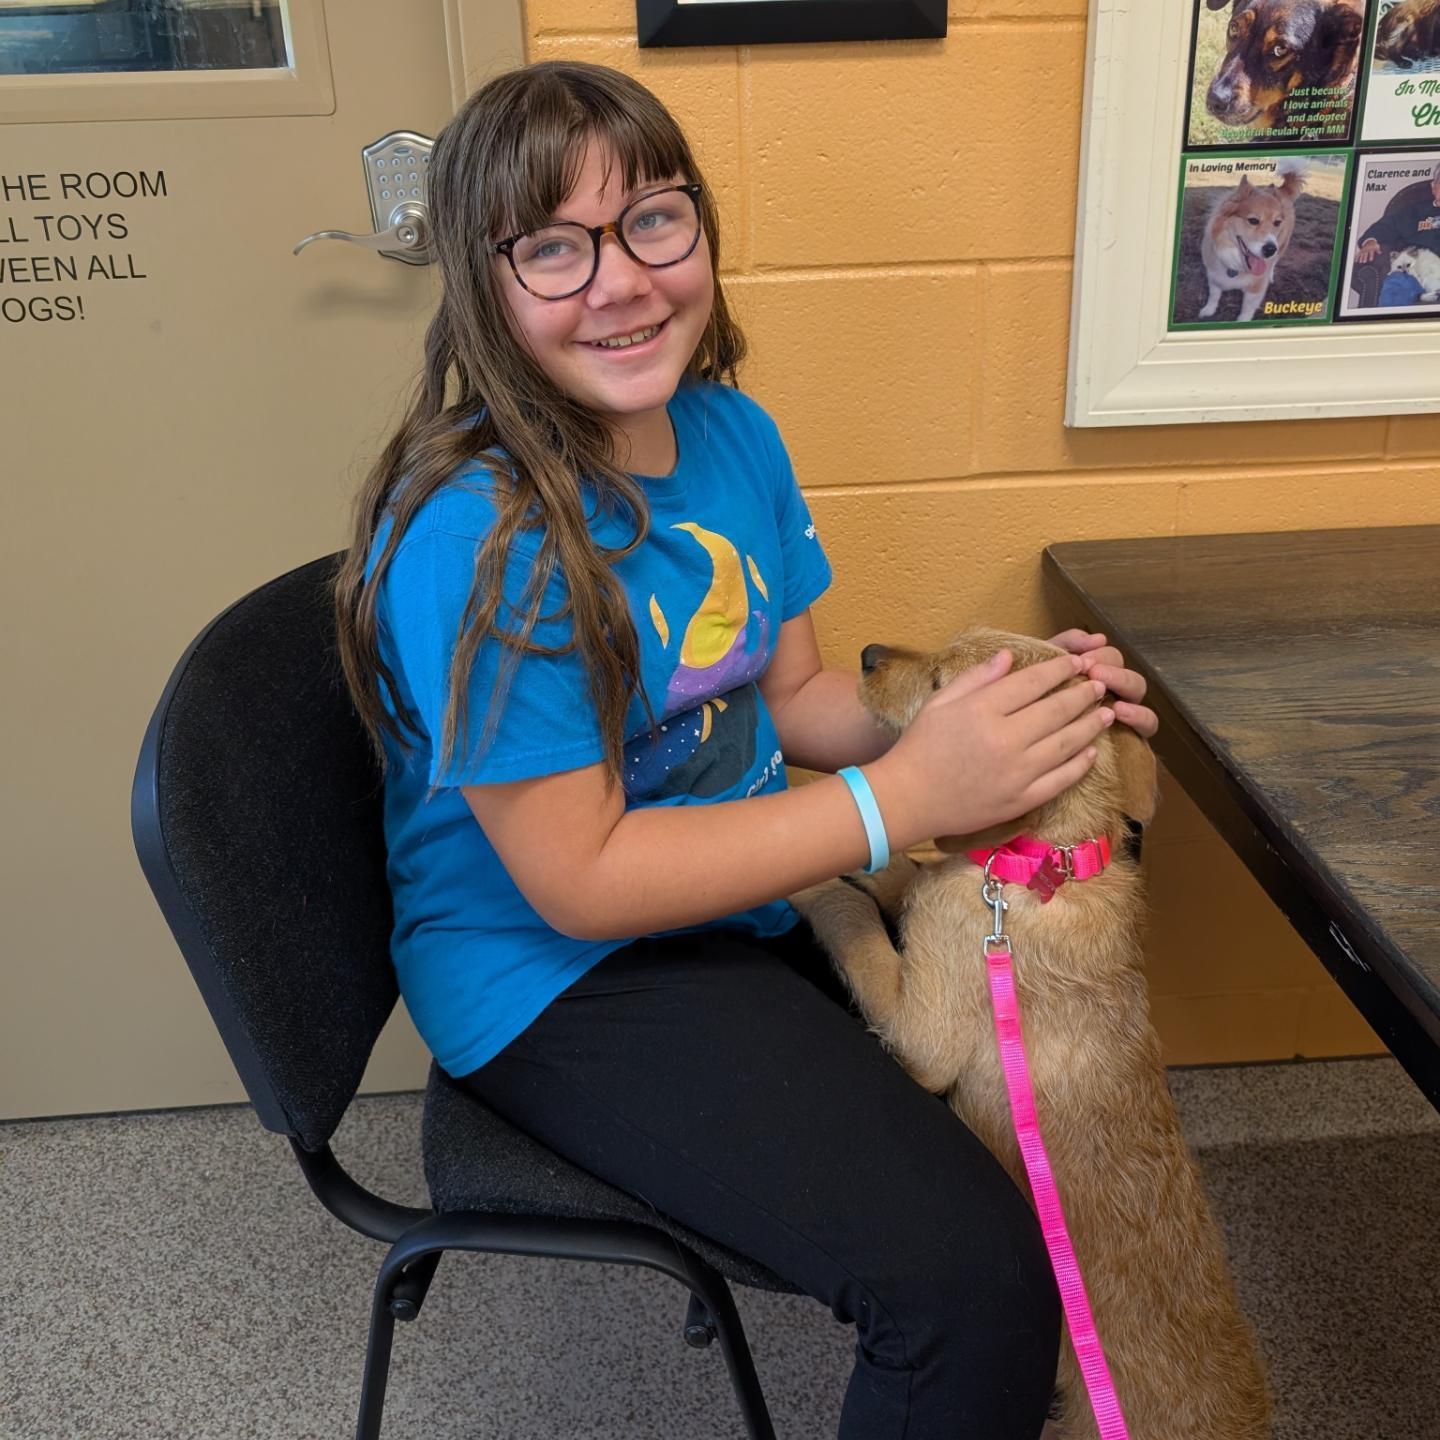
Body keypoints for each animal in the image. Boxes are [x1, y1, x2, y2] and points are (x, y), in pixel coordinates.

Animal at [789, 630, 1272, 1440]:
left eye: (943, 683)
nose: (867, 653)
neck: (1044, 864)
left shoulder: (923, 1032)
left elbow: (864, 936)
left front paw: (815, 884)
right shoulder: (951, 883)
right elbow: (904, 877)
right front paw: (869, 866)